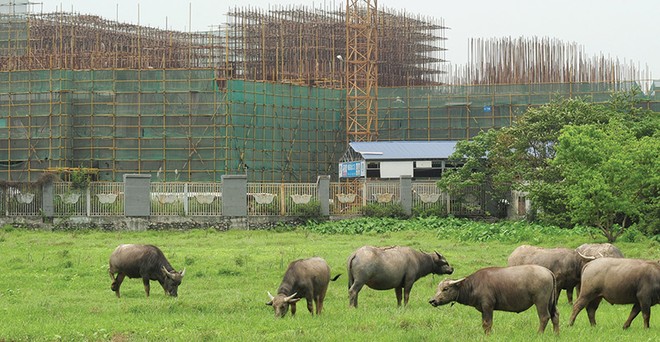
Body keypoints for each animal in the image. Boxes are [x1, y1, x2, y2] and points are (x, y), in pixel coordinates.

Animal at [428, 264, 556, 334]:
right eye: (437, 288)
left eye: (445, 288)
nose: (432, 301)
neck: (474, 285)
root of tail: (548, 272)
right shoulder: (483, 309)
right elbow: (484, 324)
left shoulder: (488, 306)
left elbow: (488, 324)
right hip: (552, 302)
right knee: (555, 316)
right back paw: (556, 334)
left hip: (541, 301)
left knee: (544, 317)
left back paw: (539, 334)